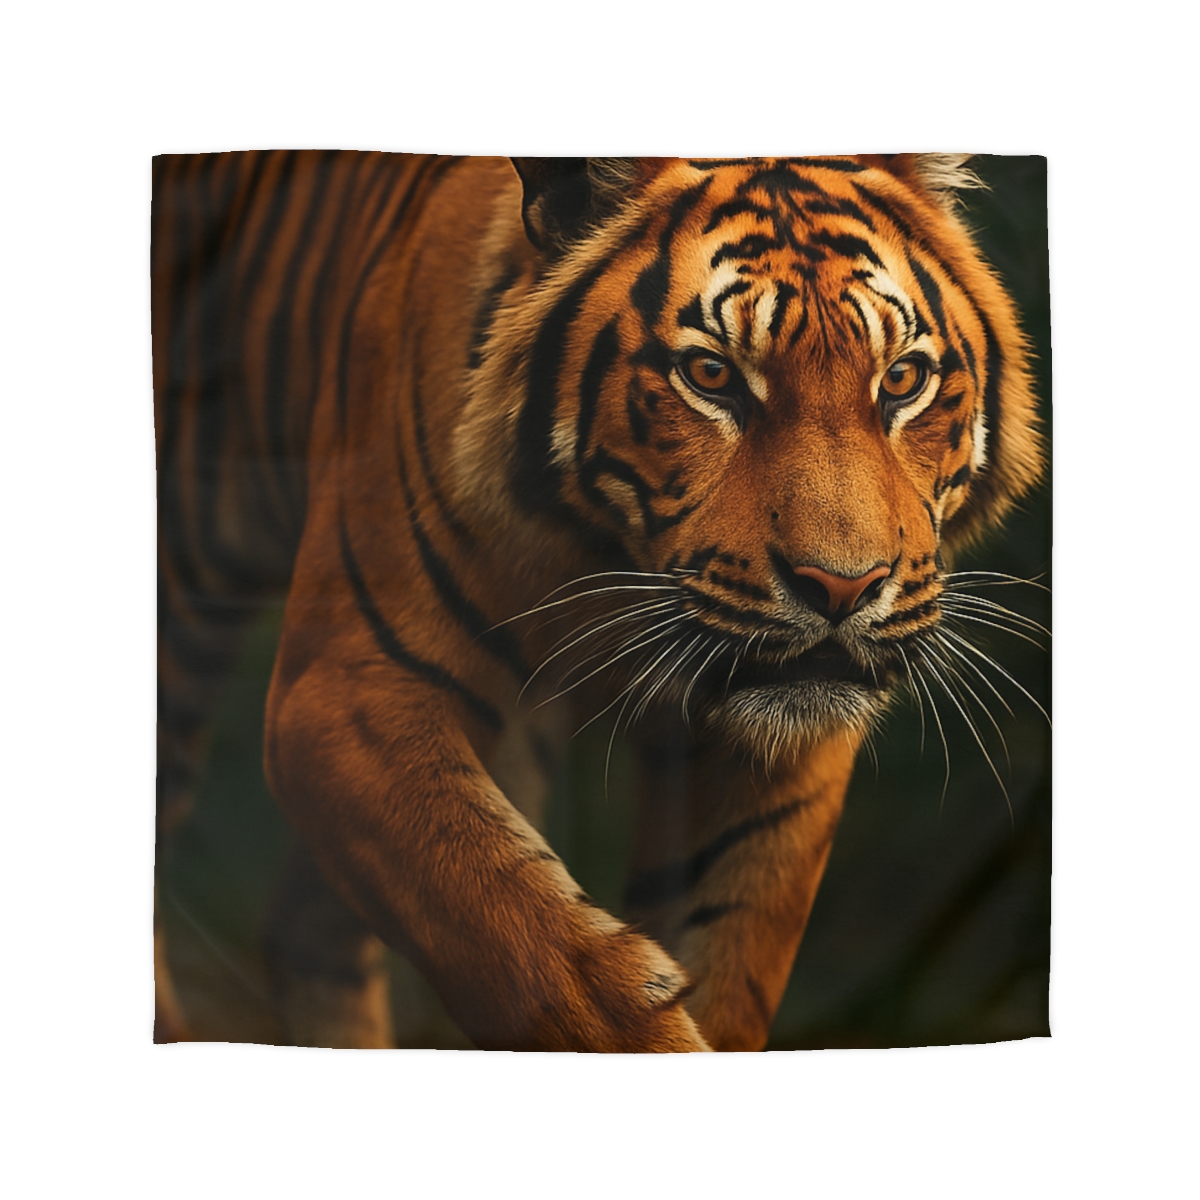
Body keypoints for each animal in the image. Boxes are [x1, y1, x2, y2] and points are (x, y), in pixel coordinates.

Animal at [153, 152, 1044, 1052]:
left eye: (901, 379)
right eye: (711, 375)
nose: (843, 587)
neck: (607, 564)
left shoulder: (775, 760)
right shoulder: (345, 694)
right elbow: (529, 939)